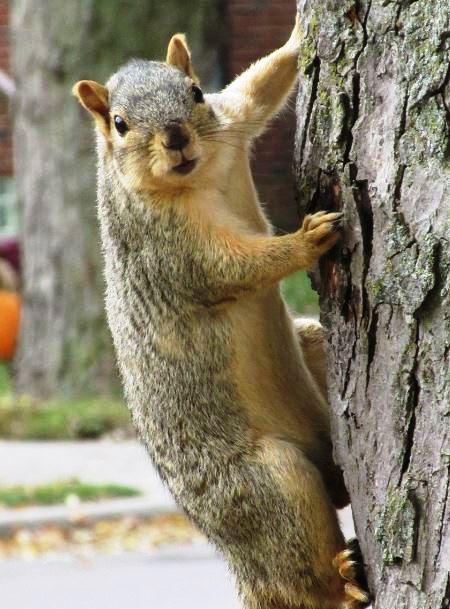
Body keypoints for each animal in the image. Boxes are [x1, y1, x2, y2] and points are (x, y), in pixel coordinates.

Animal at [73, 14, 368, 609]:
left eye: (194, 92)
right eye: (119, 123)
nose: (176, 138)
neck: (198, 175)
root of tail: (246, 570)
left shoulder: (231, 123)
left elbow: (259, 87)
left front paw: (301, 29)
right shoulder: (169, 251)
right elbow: (233, 269)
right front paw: (305, 240)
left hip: (311, 343)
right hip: (269, 482)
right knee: (300, 571)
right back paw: (342, 581)